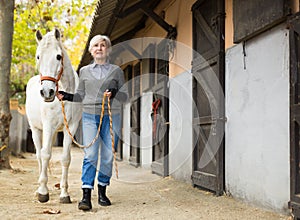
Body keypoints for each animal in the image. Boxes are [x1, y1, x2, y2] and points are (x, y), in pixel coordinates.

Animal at [25, 28, 82, 204]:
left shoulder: (71, 128)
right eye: (38, 56)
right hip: (36, 129)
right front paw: (43, 192)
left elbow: (65, 158)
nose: (47, 92)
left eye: (58, 56)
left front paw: (64, 193)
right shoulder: (48, 126)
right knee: (39, 155)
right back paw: (40, 187)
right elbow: (45, 155)